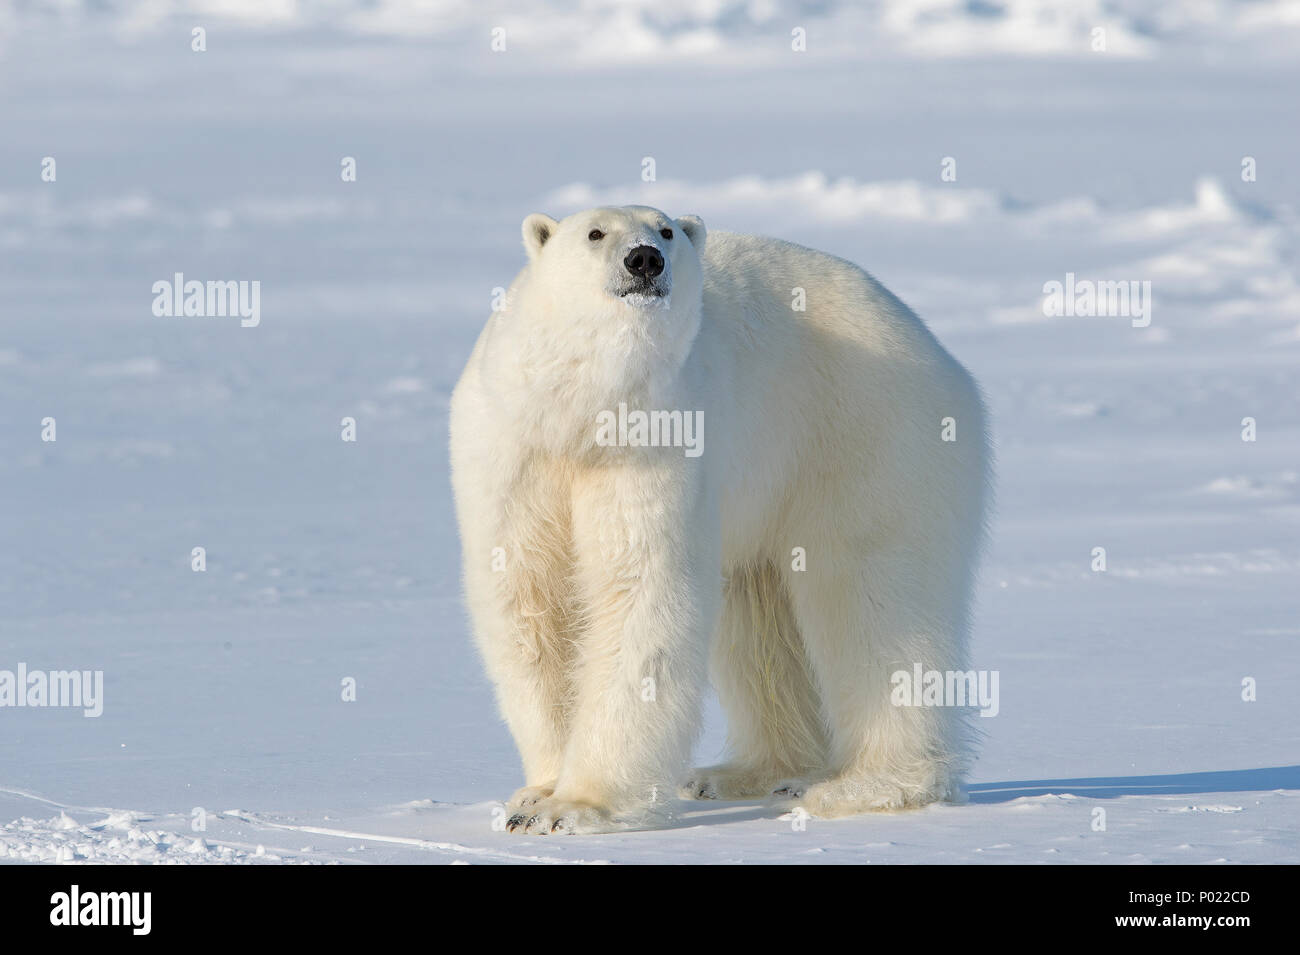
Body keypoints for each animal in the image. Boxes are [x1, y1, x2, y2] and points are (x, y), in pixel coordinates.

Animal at [452, 205, 987, 831]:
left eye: (665, 231)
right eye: (594, 233)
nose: (644, 260)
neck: (583, 411)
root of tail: (934, 347)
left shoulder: (655, 443)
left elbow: (639, 591)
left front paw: (578, 806)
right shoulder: (516, 449)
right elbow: (530, 598)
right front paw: (536, 796)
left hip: (866, 437)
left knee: (872, 598)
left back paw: (862, 786)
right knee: (759, 612)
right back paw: (743, 773)